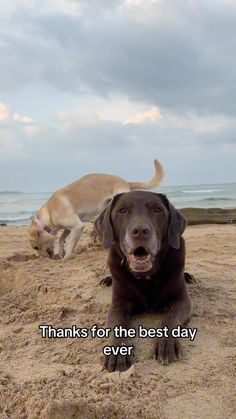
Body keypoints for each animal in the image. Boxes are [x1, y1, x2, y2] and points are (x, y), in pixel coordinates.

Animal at [27, 160, 163, 260]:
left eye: (35, 247)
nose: (43, 259)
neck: (49, 212)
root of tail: (126, 182)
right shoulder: (69, 227)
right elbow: (61, 239)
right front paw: (61, 252)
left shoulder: (77, 226)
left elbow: (70, 243)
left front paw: (67, 256)